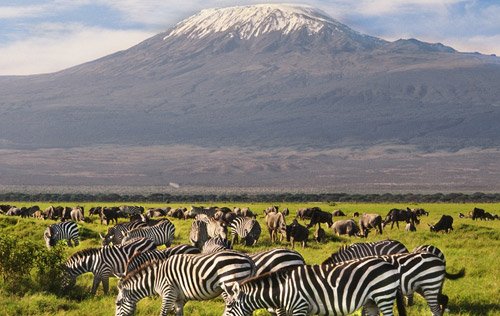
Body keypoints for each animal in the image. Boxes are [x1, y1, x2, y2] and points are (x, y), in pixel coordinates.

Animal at [115, 251, 256, 314]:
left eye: (117, 303)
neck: (156, 279)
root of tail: (247, 257)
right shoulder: (178, 298)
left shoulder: (168, 293)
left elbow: (163, 312)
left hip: (231, 283)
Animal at [222, 256, 406, 316]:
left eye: (229, 305)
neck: (282, 290)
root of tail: (389, 263)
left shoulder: (300, 307)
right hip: (371, 301)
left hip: (383, 295)